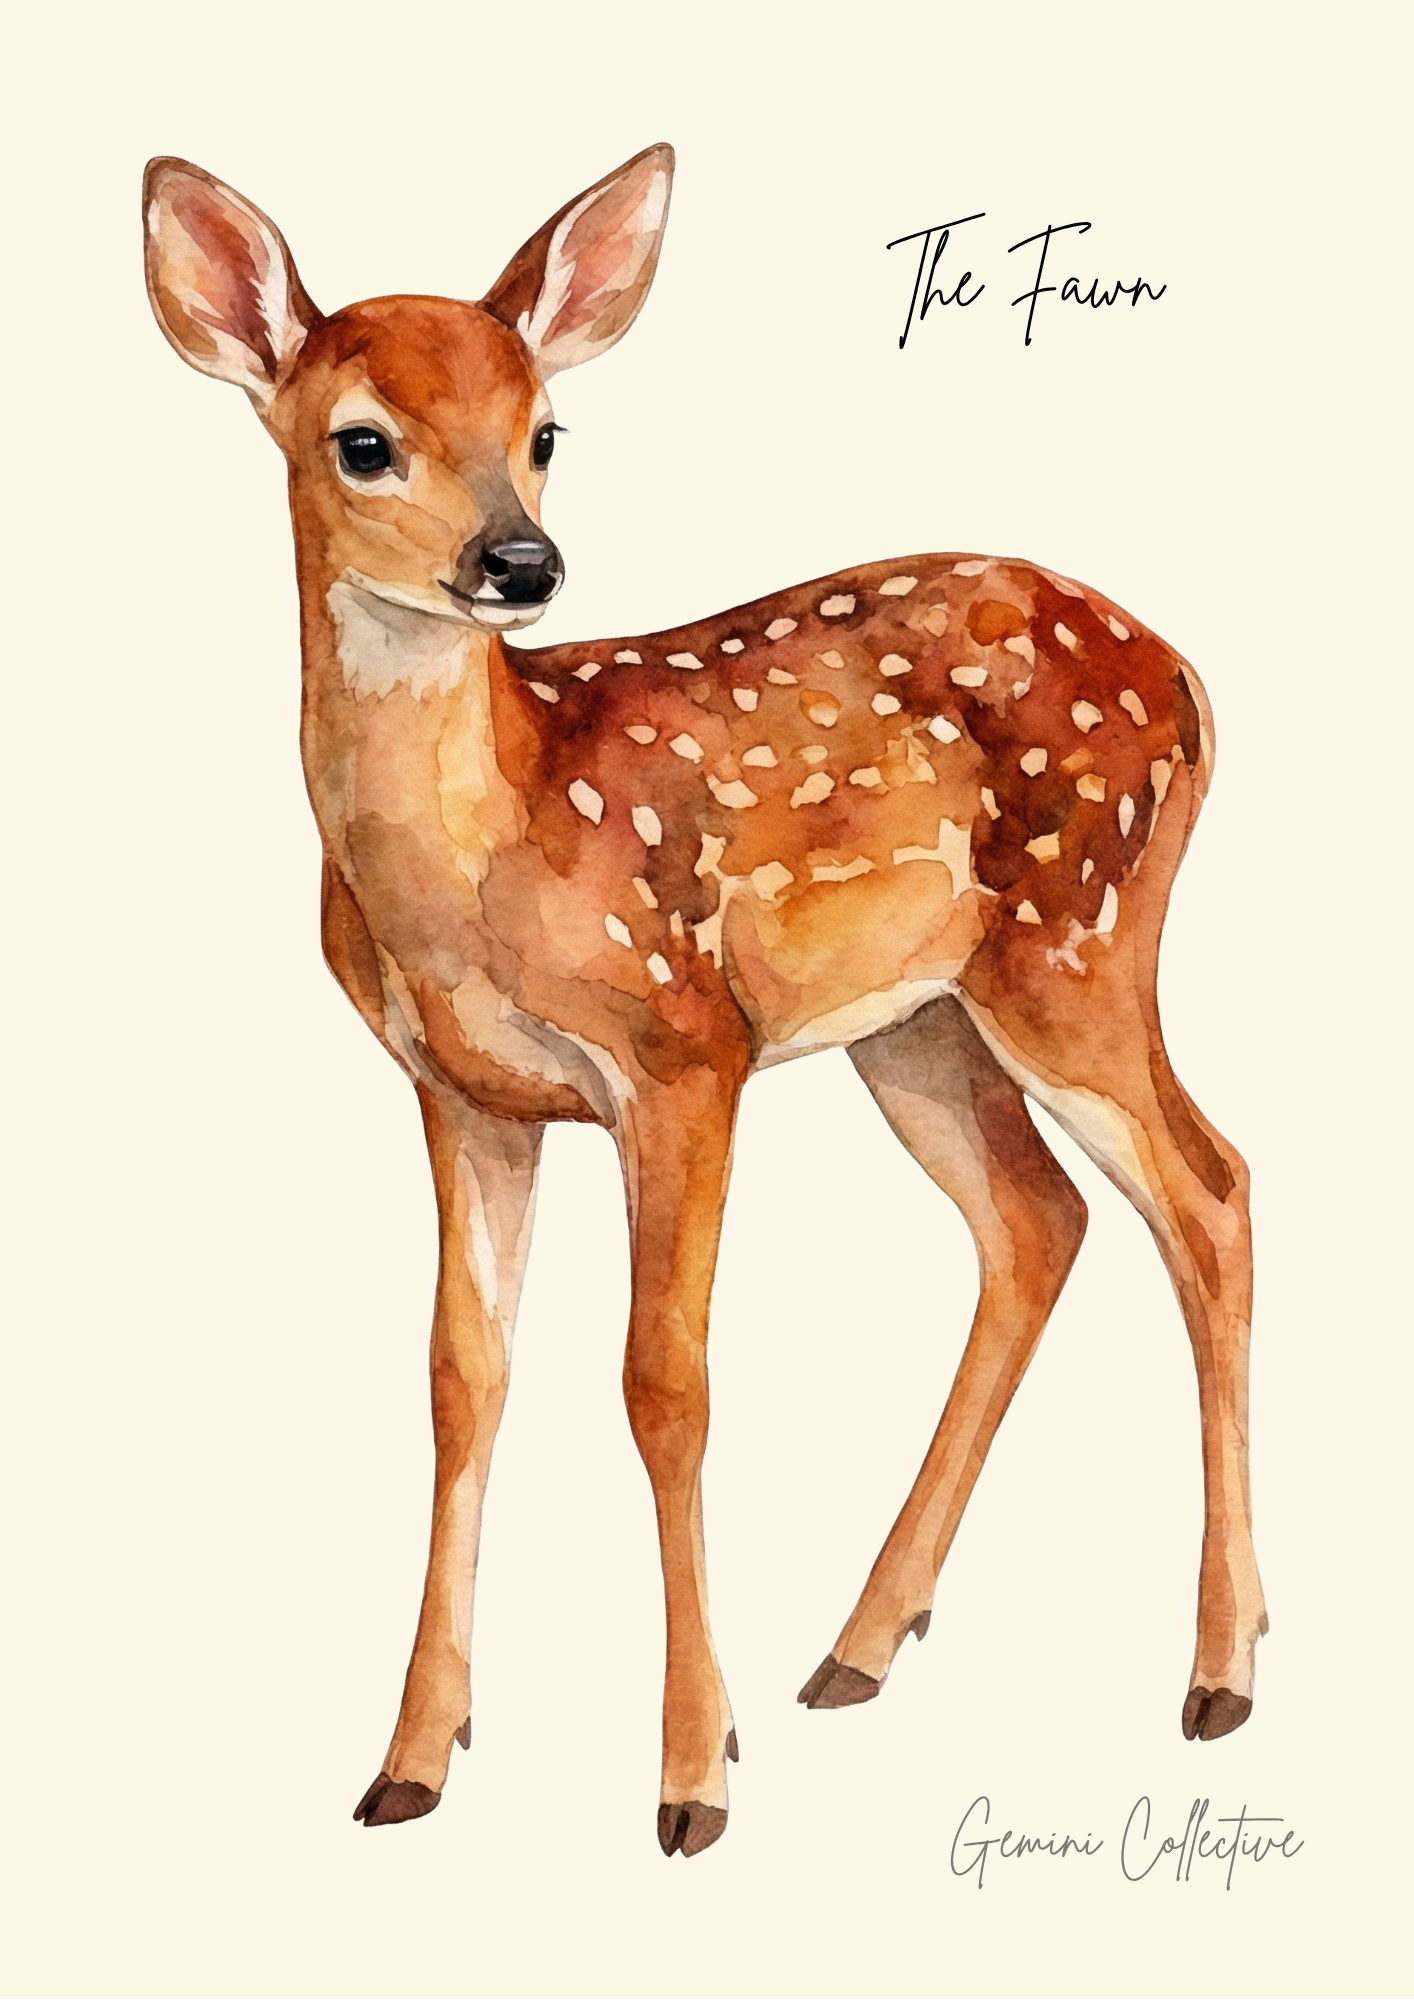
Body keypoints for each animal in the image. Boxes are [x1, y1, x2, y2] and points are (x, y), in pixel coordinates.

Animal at [142, 143, 1265, 1858]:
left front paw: (689, 1778)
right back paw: (859, 1648)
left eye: (544, 430)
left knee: (1208, 1195)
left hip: (1074, 947)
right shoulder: (462, 1093)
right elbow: (460, 1380)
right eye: (362, 442)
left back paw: (1218, 1674)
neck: (478, 864)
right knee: (1035, 1220)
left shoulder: (682, 1051)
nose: (520, 564)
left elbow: (663, 1383)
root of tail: (1191, 678)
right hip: (915, 1022)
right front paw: (411, 1761)